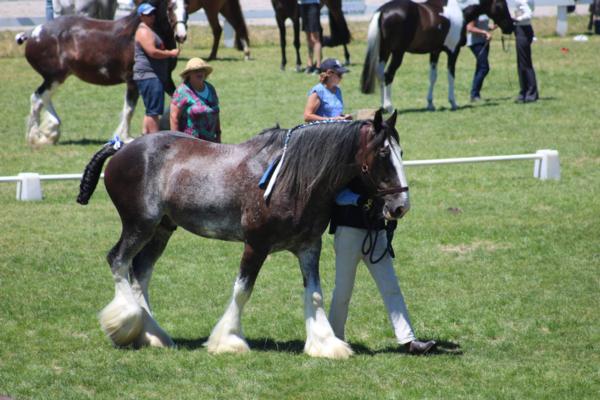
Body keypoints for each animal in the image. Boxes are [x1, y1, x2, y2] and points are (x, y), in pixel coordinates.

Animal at [16, 0, 178, 146]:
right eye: (171, 6)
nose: (180, 35)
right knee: (37, 98)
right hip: (54, 77)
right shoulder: (133, 81)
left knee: (43, 97)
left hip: (55, 78)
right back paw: (37, 137)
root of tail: (33, 33)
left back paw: (50, 132)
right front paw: (126, 138)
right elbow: (129, 109)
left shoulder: (166, 78)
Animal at [75, 110, 410, 360]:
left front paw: (325, 344)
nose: (400, 206)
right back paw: (124, 323)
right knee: (118, 261)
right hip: (139, 225)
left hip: (161, 230)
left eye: (401, 151)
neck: (293, 179)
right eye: (383, 153)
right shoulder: (255, 245)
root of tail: (122, 148)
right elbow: (242, 290)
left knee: (140, 272)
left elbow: (314, 293)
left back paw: (152, 335)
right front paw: (229, 341)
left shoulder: (308, 247)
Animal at [360, 0, 516, 112]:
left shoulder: (434, 52)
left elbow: (433, 77)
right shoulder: (453, 51)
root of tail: (383, 11)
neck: (460, 10)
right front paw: (453, 103)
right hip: (397, 53)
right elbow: (451, 76)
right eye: (501, 4)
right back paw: (389, 107)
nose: (511, 27)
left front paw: (430, 104)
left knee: (380, 75)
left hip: (383, 52)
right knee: (388, 75)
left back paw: (382, 107)